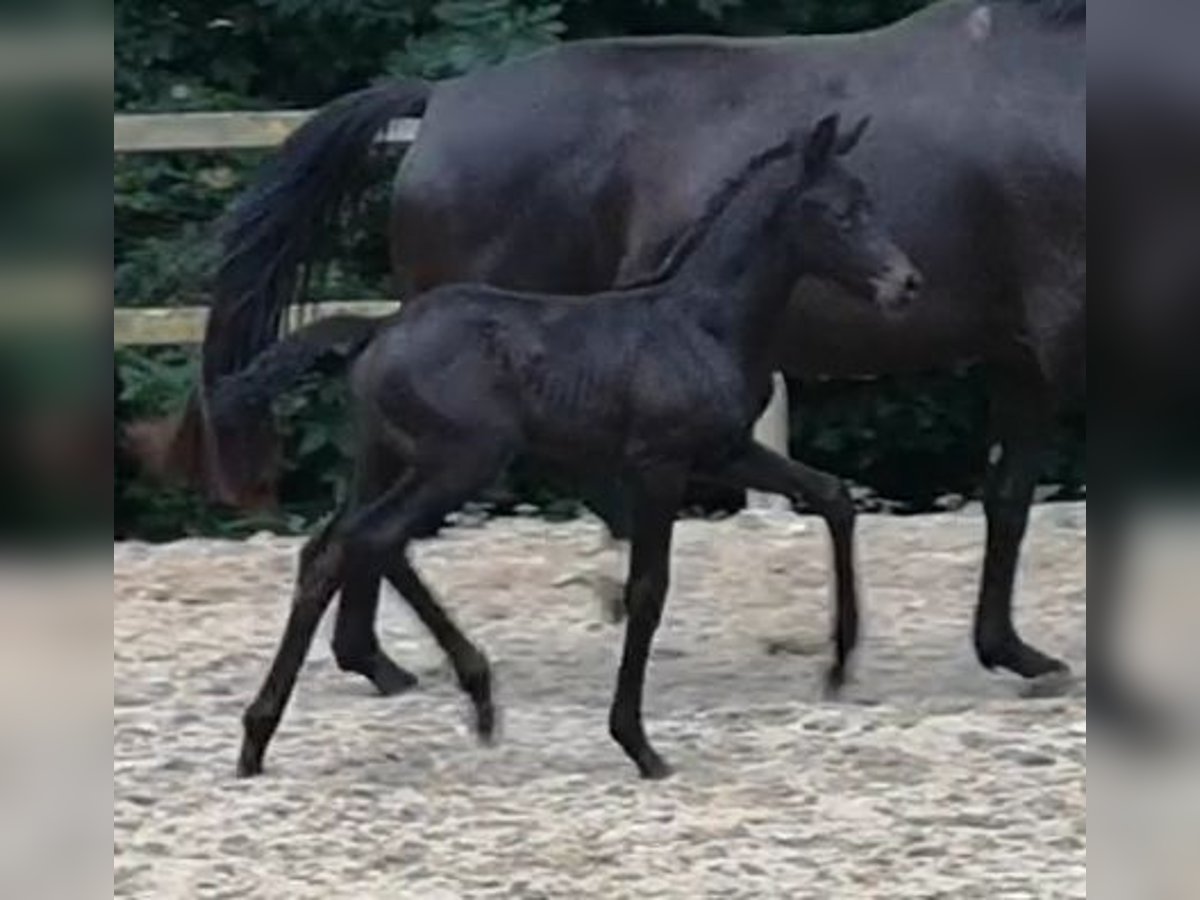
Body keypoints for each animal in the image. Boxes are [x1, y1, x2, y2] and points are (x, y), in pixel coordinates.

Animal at [154, 0, 1084, 696]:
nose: (903, 280)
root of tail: (442, 100)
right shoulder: (1063, 338)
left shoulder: (1022, 355)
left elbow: (1008, 498)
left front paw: (1013, 651)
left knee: (366, 519)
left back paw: (380, 661)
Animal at [238, 116, 921, 782]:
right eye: (840, 212)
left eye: (869, 201)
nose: (906, 283)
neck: (702, 323)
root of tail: (380, 329)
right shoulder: (659, 465)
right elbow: (648, 590)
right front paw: (638, 744)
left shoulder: (726, 452)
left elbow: (833, 497)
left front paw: (839, 666)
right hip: (460, 462)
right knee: (372, 539)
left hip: (392, 458)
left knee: (337, 548)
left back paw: (276, 732)